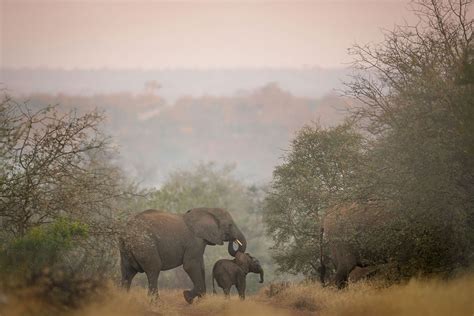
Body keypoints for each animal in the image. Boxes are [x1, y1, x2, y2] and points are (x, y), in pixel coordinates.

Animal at [118, 207, 246, 304]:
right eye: (230, 225)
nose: (234, 240)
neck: (207, 210)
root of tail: (126, 230)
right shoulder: (195, 241)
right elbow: (190, 266)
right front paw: (187, 297)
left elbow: (201, 267)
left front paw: (201, 301)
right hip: (145, 245)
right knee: (153, 269)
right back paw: (156, 303)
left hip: (126, 249)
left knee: (127, 273)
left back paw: (123, 299)